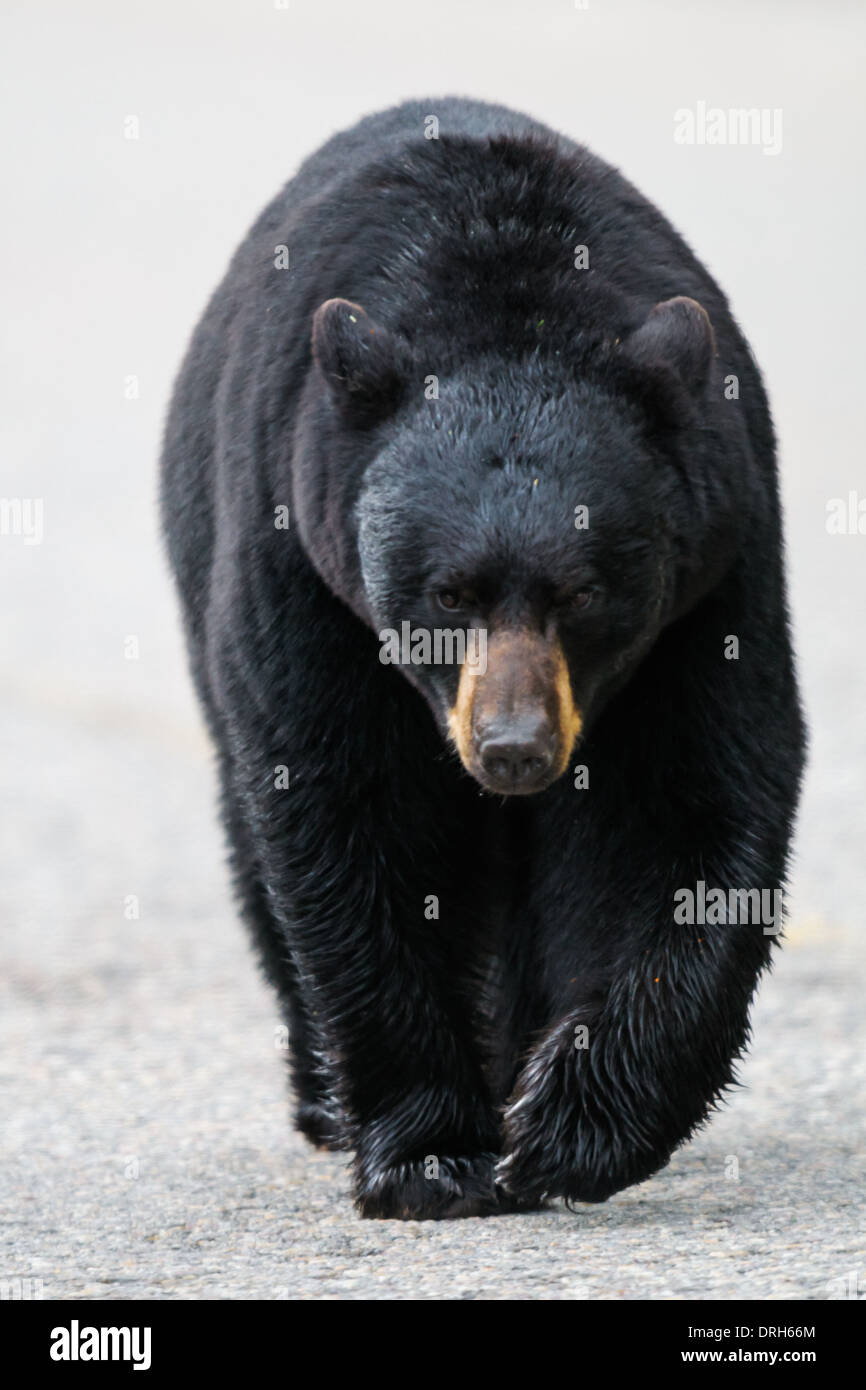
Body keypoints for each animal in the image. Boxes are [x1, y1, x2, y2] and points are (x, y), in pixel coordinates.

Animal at [161, 97, 805, 1220]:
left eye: (582, 594)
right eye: (448, 593)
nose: (512, 748)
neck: (508, 302)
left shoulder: (713, 574)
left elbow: (692, 806)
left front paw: (570, 1128)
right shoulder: (301, 564)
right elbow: (347, 807)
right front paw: (431, 1153)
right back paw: (327, 1096)